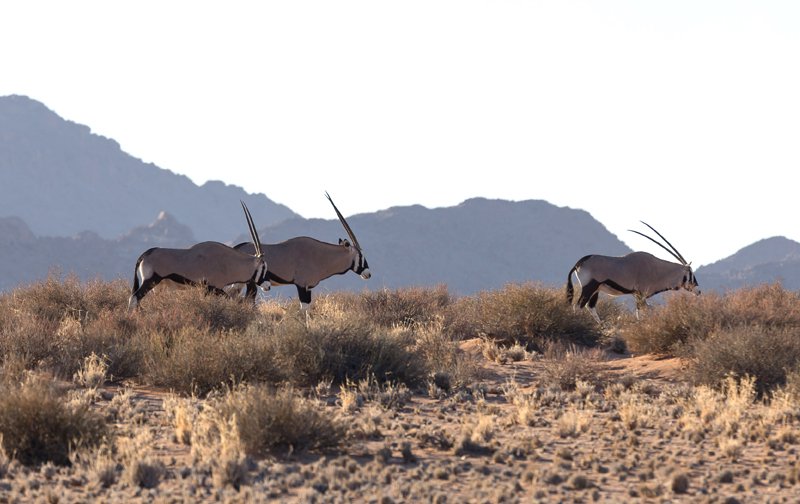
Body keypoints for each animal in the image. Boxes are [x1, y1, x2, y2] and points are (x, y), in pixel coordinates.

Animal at [128, 202, 268, 312]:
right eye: (264, 267)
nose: (268, 286)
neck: (228, 262)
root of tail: (145, 254)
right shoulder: (213, 287)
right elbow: (227, 300)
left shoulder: (207, 289)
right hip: (150, 281)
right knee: (134, 298)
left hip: (158, 287)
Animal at [231, 192, 368, 312]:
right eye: (360, 255)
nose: (368, 274)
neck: (320, 255)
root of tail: (236, 248)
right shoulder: (301, 285)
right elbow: (304, 309)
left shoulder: (308, 288)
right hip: (250, 283)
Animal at [564, 221, 700, 322]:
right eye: (691, 274)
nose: (698, 291)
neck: (657, 269)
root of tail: (578, 263)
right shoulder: (641, 294)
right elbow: (640, 312)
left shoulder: (637, 295)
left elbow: (647, 309)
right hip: (589, 287)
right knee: (578, 306)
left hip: (596, 290)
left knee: (590, 306)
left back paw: (601, 326)